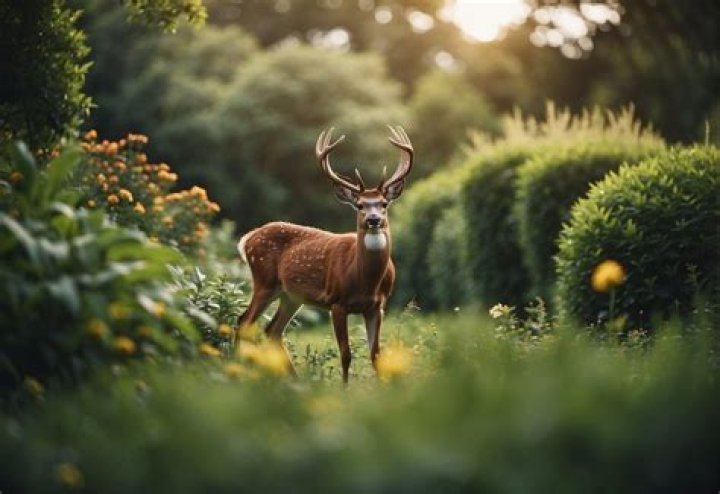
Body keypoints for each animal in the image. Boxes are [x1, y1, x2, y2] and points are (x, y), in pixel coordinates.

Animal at [235, 126, 413, 382]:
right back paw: (236, 371)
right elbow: (346, 354)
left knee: (272, 330)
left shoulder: (377, 306)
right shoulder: (336, 301)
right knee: (244, 322)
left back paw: (294, 380)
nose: (373, 219)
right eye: (360, 205)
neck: (365, 280)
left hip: (291, 295)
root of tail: (247, 238)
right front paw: (345, 387)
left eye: (383, 204)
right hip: (264, 281)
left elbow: (376, 355)